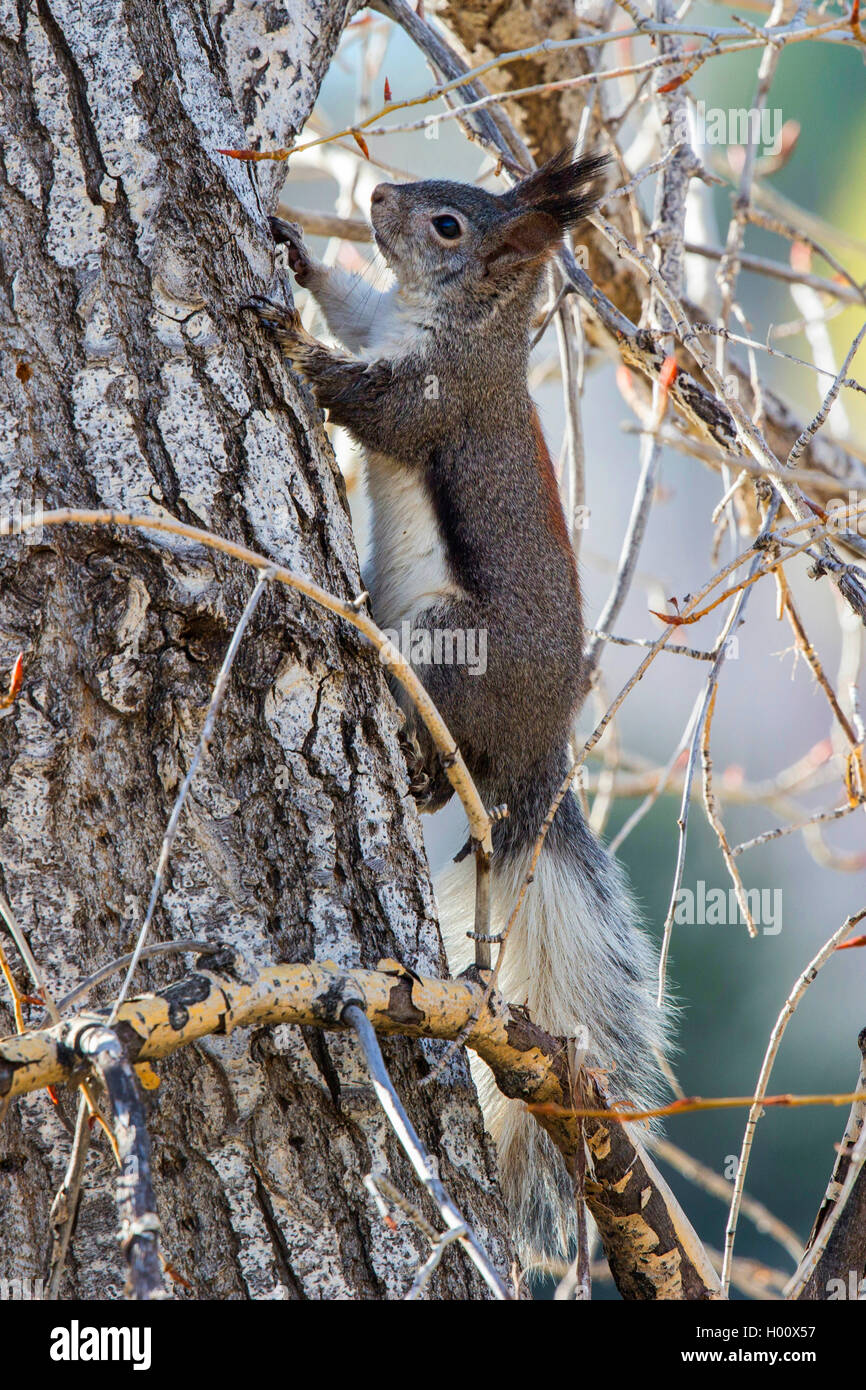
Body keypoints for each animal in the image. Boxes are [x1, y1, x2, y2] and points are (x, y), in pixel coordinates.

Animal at [250, 154, 670, 1273]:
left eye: (446, 224)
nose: (378, 198)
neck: (458, 322)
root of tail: (542, 758)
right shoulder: (387, 323)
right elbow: (353, 306)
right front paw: (298, 252)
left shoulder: (438, 397)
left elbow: (376, 406)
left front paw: (291, 344)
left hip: (449, 638)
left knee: (448, 749)